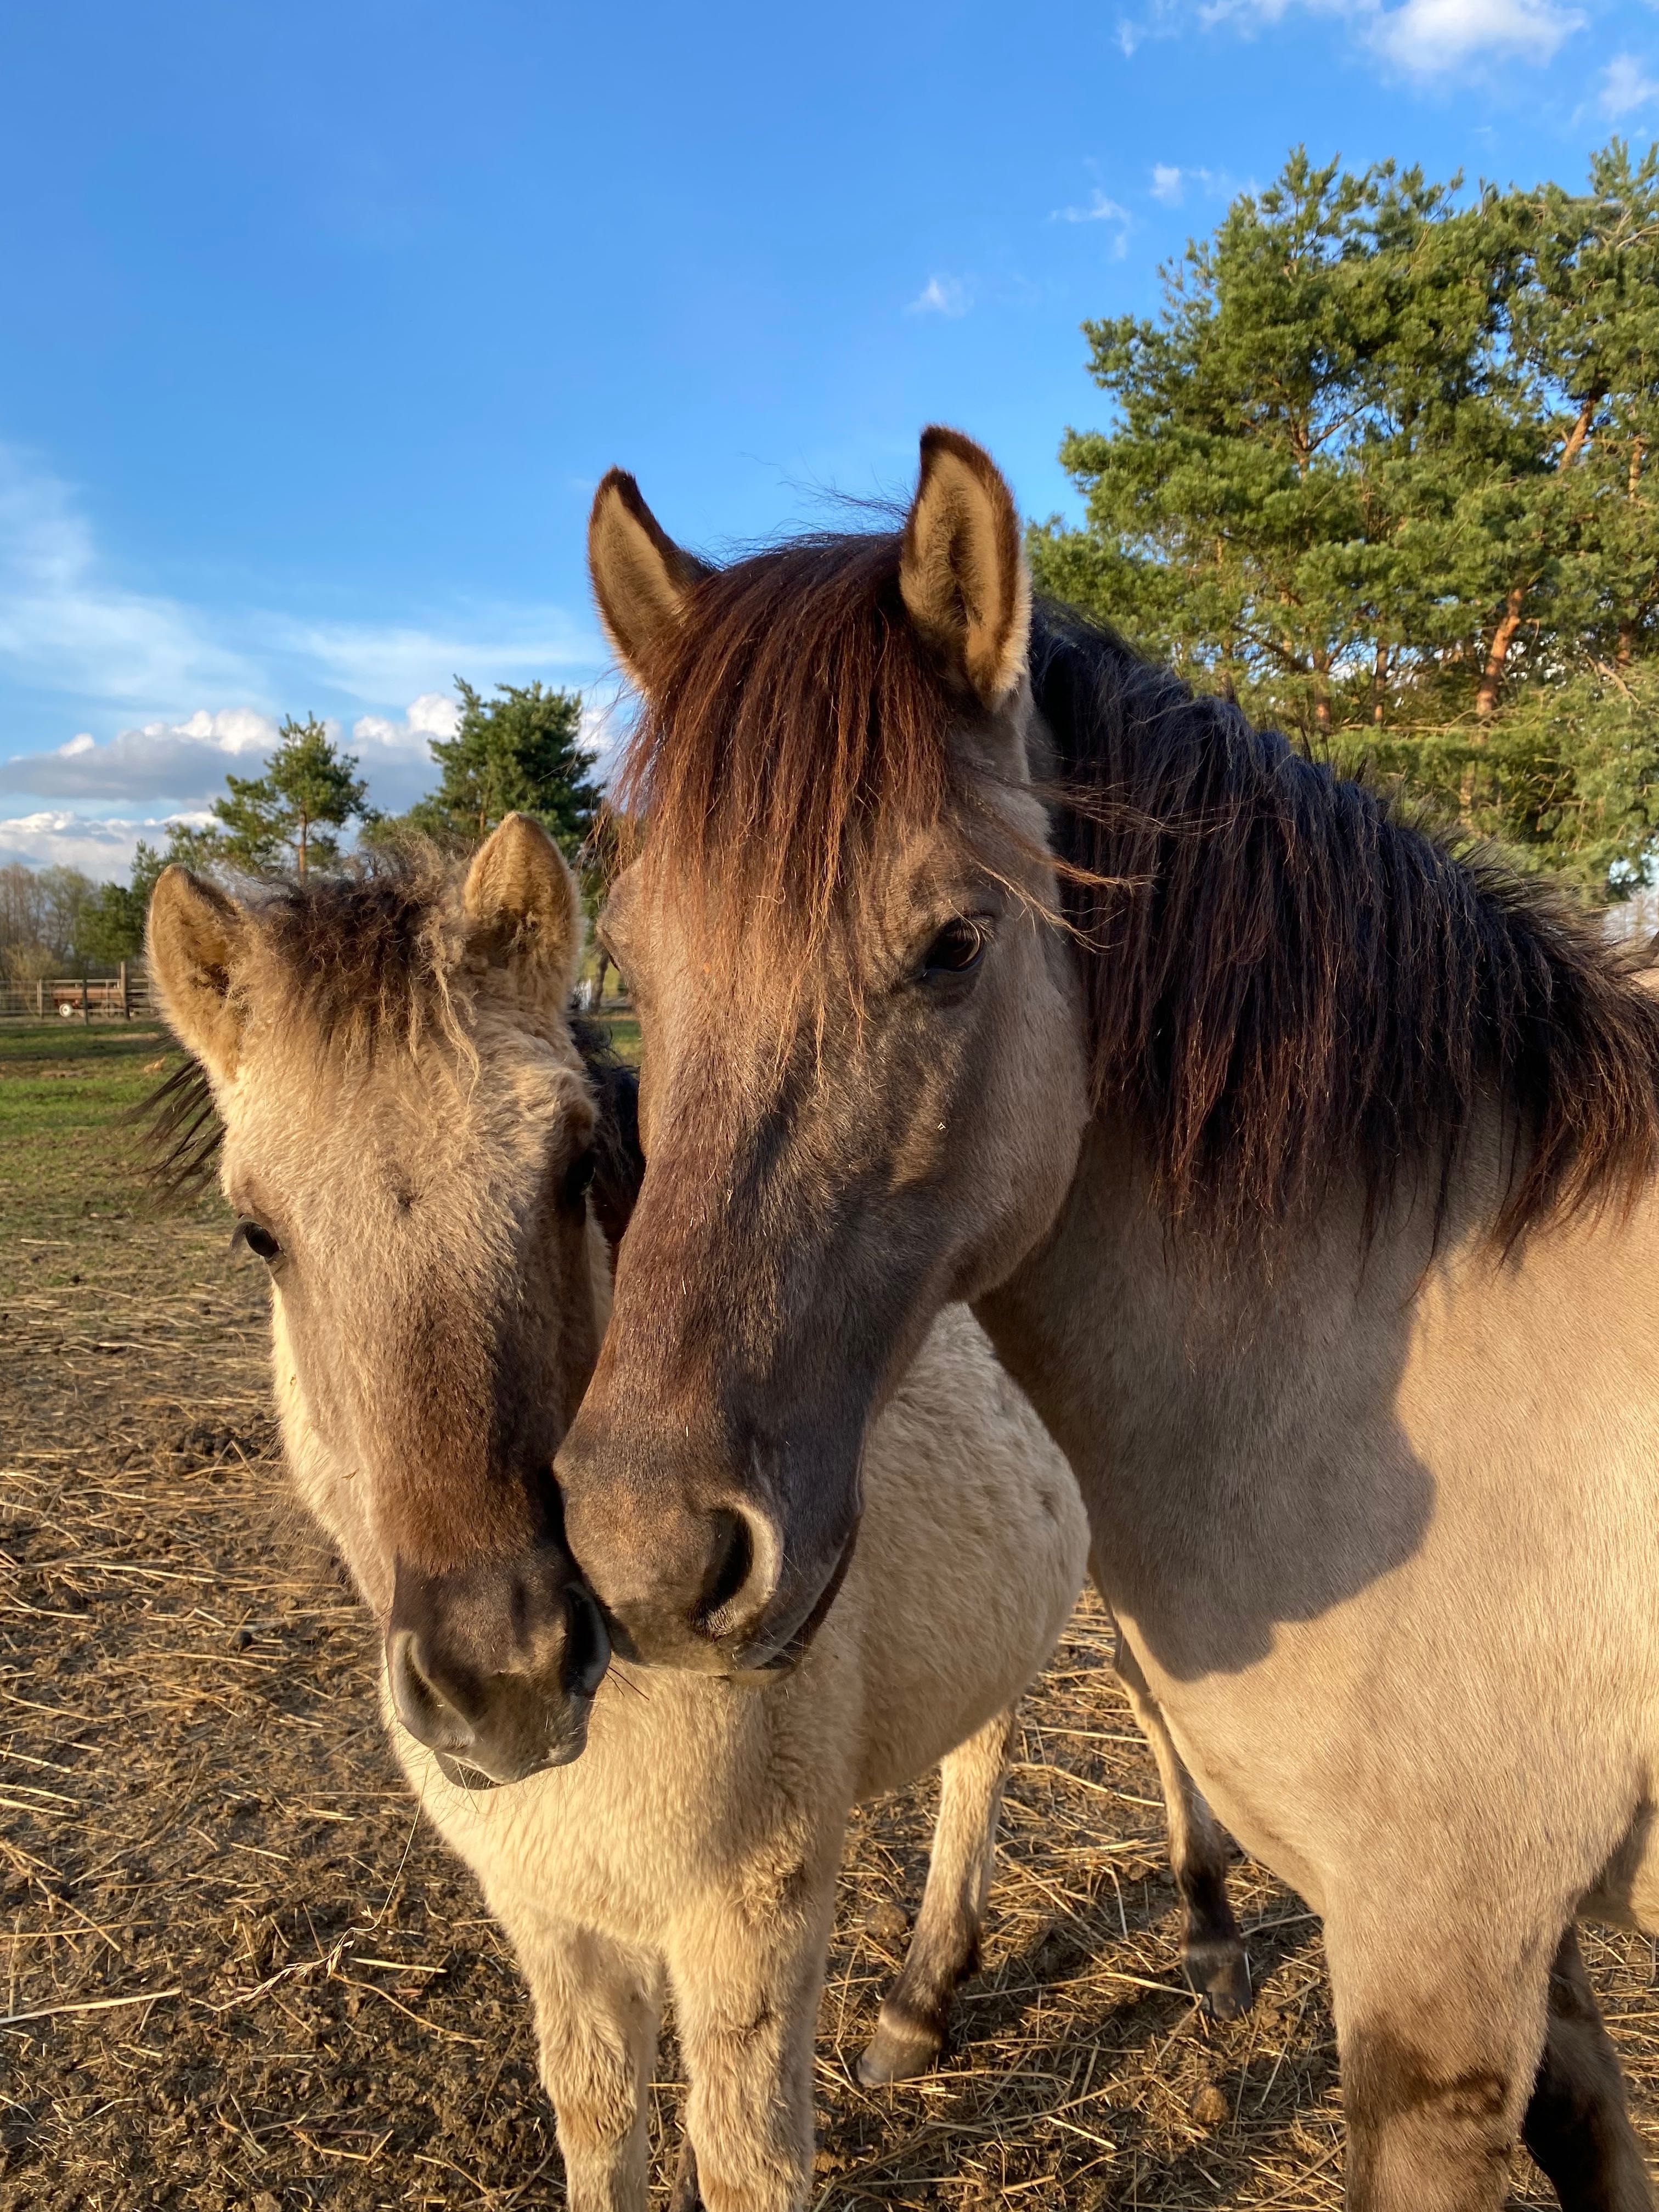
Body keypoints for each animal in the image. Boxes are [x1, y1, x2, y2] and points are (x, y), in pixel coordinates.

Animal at [149, 827, 1238, 2212]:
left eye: (572, 1169)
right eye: (258, 1232)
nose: (505, 1677)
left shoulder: (746, 1926)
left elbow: (745, 2162)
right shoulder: (554, 1923)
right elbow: (598, 2124)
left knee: (1158, 1706)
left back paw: (1208, 1931)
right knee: (985, 1739)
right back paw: (924, 1997)